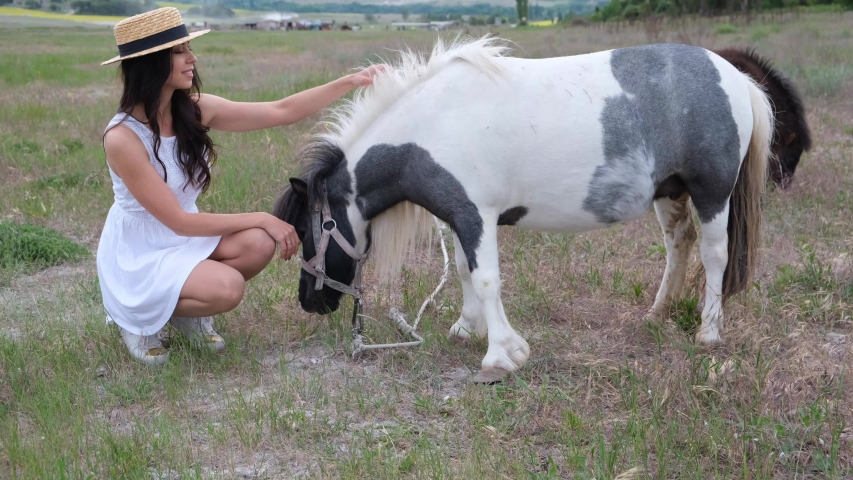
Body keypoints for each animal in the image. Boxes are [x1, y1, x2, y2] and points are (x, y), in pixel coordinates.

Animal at [273, 36, 775, 383]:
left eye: (308, 232)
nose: (309, 301)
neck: (432, 127)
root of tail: (733, 75)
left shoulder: (476, 215)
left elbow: (486, 278)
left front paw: (501, 355)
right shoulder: (461, 217)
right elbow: (464, 271)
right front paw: (466, 328)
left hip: (711, 192)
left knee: (714, 255)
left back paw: (709, 332)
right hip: (671, 192)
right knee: (679, 245)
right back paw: (658, 313)